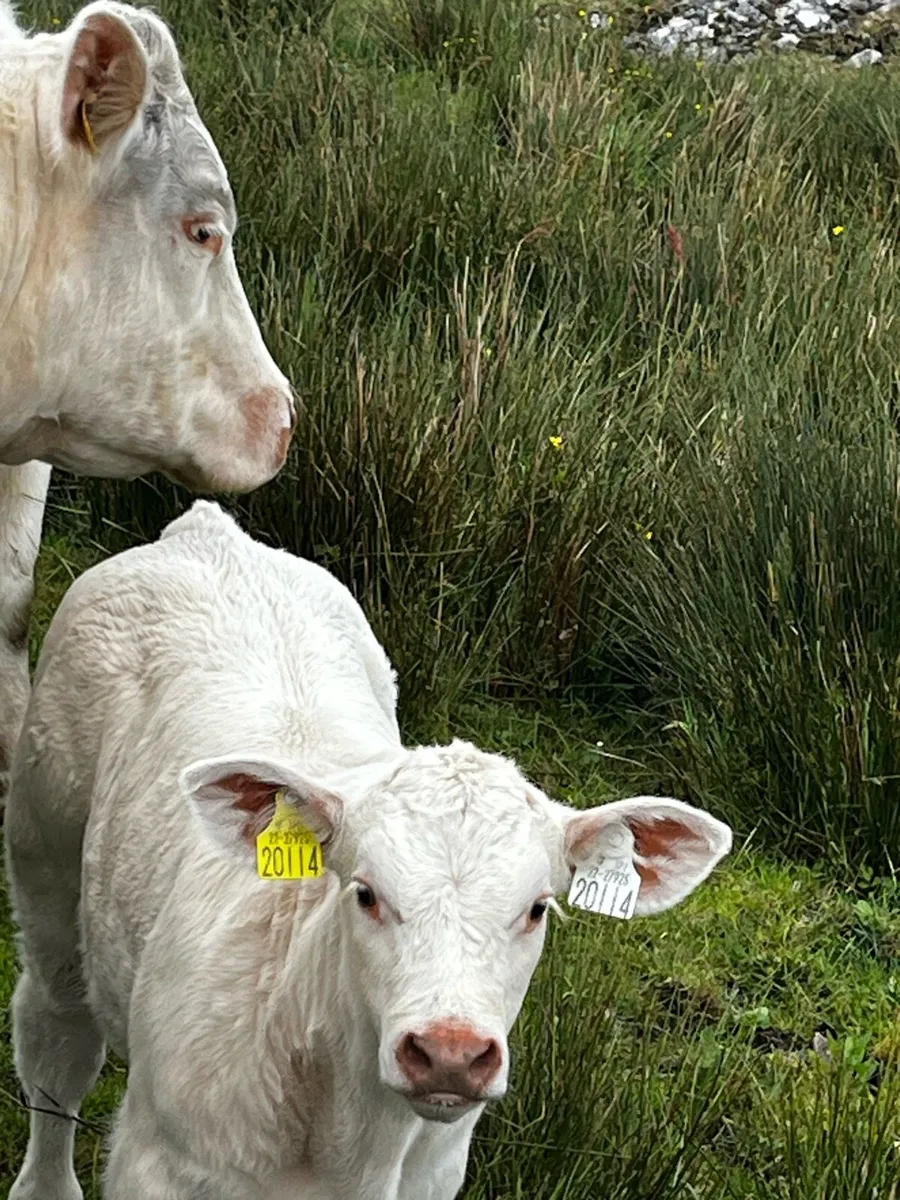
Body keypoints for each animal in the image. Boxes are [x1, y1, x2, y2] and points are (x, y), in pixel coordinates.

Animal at [5, 501, 733, 1200]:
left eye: (537, 909)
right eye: (365, 893)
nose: (448, 1052)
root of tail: (210, 532)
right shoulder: (157, 1164)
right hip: (47, 855)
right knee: (55, 1041)